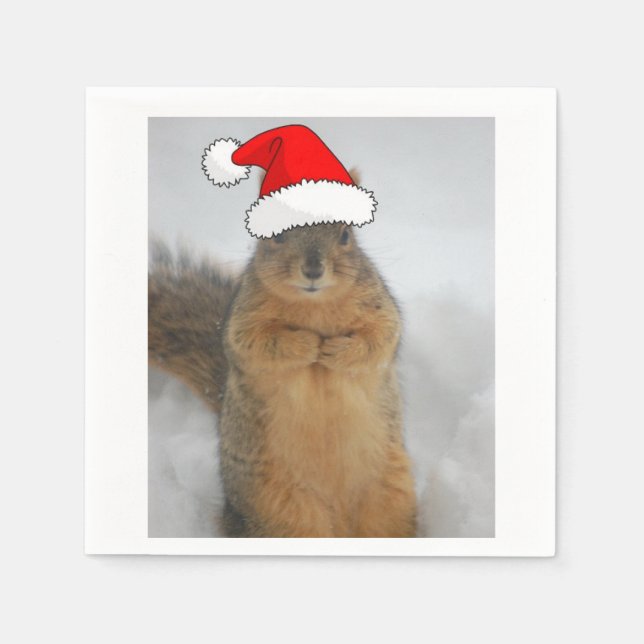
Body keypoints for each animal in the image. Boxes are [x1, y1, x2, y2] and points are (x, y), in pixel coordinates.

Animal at [149, 221, 417, 538]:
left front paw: (337, 350)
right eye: (275, 235)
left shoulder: (379, 306)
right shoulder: (244, 320)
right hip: (278, 510)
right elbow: (257, 345)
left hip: (390, 500)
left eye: (345, 235)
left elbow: (381, 338)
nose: (313, 269)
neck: (314, 305)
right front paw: (308, 344)